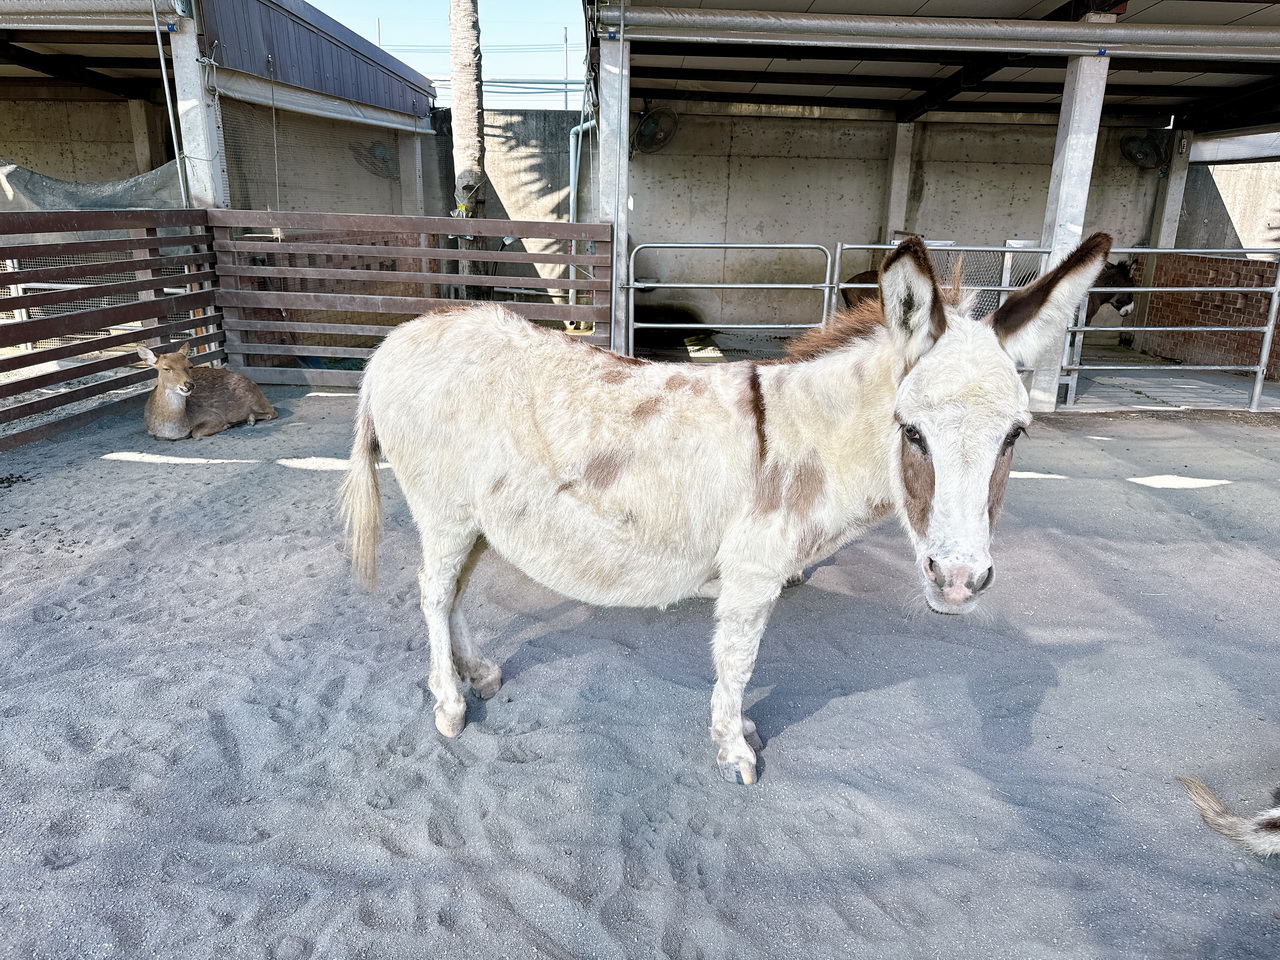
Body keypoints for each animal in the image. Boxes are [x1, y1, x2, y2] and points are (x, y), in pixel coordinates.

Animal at [135, 343, 275, 440]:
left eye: (190, 365)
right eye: (166, 368)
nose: (189, 384)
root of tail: (252, 382)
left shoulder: (213, 415)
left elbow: (196, 433)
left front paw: (226, 426)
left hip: (255, 400)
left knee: (272, 412)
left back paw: (249, 420)